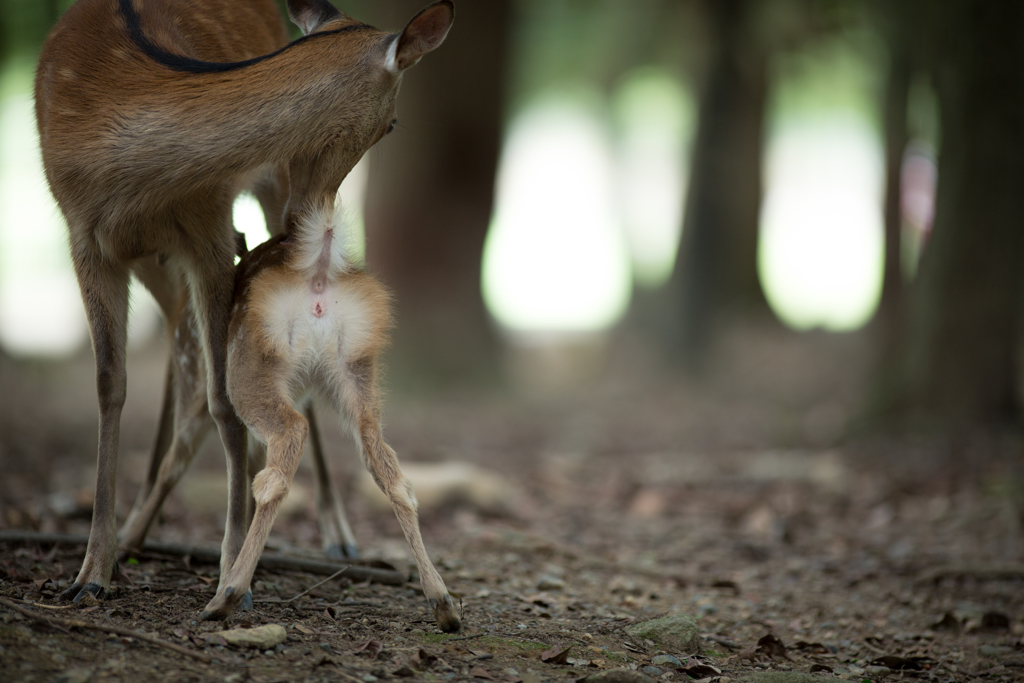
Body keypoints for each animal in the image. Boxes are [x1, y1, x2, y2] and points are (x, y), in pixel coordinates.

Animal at [35, 0, 460, 634]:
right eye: (391, 124)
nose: (299, 224)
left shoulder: (209, 226)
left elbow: (221, 403)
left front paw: (232, 567)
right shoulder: (83, 232)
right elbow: (111, 384)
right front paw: (91, 572)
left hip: (259, 201)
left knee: (267, 410)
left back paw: (324, 542)